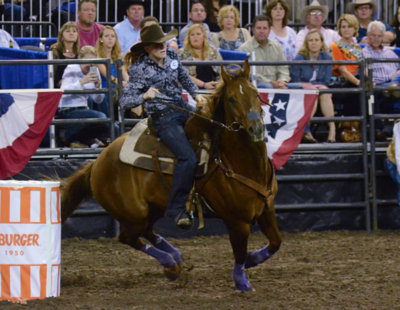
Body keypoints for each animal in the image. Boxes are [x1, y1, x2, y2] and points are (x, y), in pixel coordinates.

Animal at [61, 59, 282, 292]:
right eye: (231, 99)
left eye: (255, 93)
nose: (256, 129)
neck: (241, 164)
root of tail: (97, 162)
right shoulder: (236, 221)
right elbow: (239, 253)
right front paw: (242, 281)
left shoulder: (267, 209)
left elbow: (276, 242)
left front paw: (252, 259)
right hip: (133, 213)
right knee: (129, 237)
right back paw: (170, 263)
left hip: (154, 207)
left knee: (147, 232)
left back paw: (175, 258)